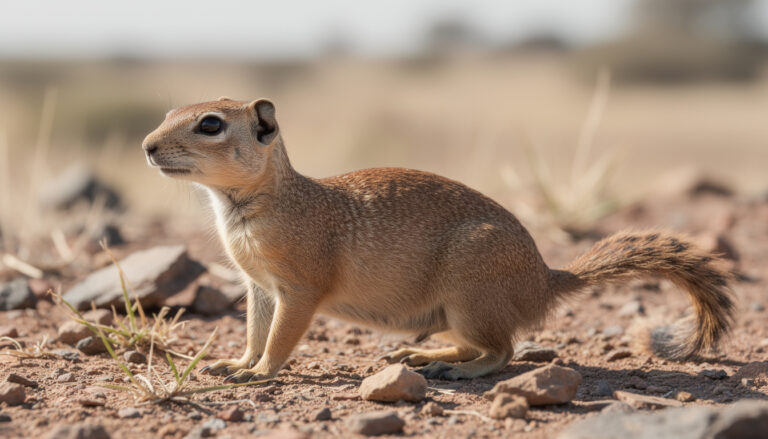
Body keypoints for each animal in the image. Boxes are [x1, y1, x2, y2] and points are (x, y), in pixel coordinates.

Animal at [142, 97, 734, 382]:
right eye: (169, 112)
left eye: (211, 124)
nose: (147, 146)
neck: (250, 205)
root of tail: (545, 279)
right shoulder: (259, 287)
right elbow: (253, 330)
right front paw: (236, 364)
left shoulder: (299, 287)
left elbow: (282, 337)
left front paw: (260, 373)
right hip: (453, 310)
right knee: (480, 343)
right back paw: (418, 353)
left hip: (471, 294)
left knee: (501, 351)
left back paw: (454, 368)